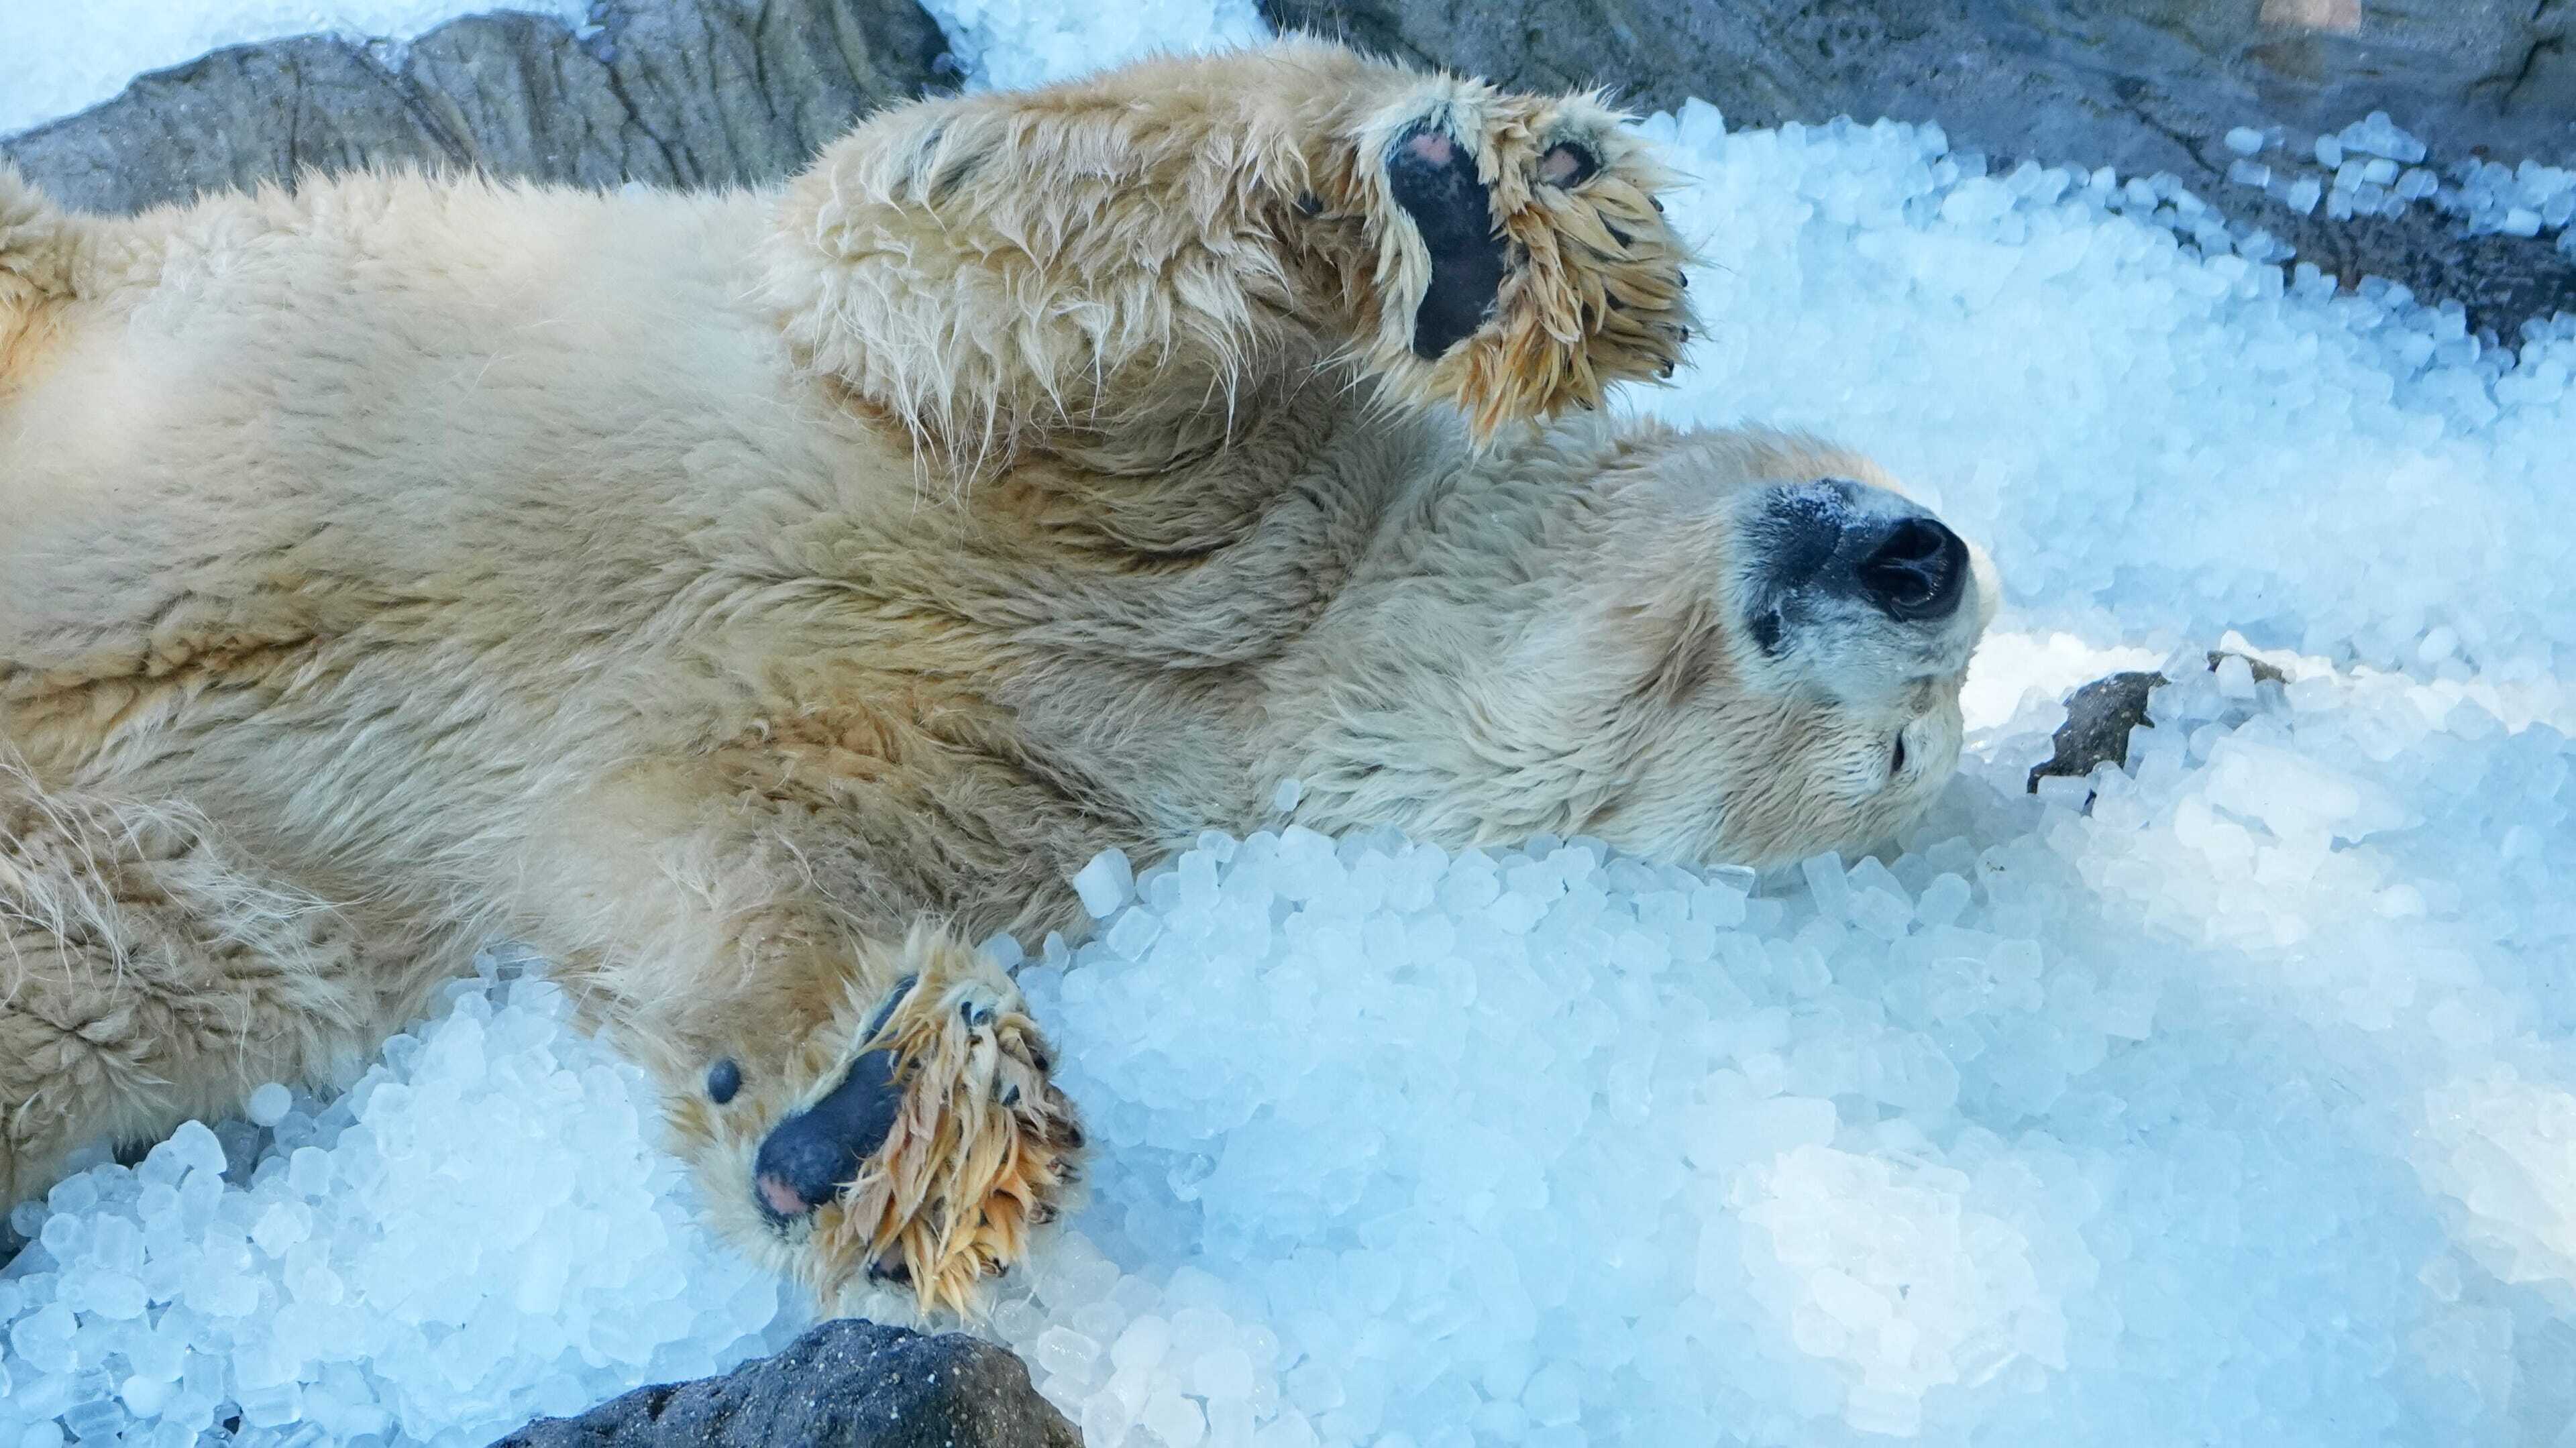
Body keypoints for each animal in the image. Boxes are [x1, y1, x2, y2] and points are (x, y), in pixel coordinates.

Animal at [0, 38, 1995, 1316]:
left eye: (1899, 758)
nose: (1928, 561)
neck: (1261, 648)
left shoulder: (1045, 782)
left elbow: (717, 873)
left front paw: (882, 1123)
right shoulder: (1172, 502)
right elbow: (933, 234)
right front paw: (1487, 220)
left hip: (150, 906)